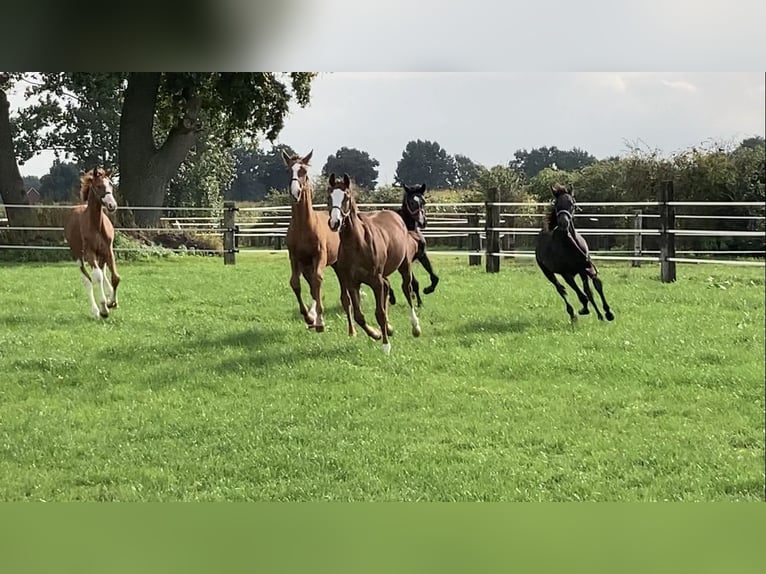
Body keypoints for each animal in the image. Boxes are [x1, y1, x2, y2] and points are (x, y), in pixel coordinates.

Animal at [63, 168, 121, 320]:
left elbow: (115, 277)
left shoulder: (108, 250)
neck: (96, 225)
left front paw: (112, 302)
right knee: (87, 280)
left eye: (111, 184)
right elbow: (97, 277)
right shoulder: (89, 253)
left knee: (102, 272)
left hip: (100, 256)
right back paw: (95, 311)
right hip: (78, 256)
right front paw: (104, 309)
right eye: (99, 186)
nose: (112, 205)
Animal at [284, 150, 340, 332]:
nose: (295, 192)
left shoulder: (319, 256)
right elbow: (296, 283)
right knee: (312, 287)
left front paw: (320, 321)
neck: (304, 227)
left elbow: (318, 280)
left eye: (304, 172)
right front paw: (309, 317)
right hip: (307, 266)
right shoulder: (295, 258)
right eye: (289, 170)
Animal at [328, 174, 424, 356]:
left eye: (346, 196)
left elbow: (379, 313)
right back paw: (389, 328)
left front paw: (386, 346)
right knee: (388, 287)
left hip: (404, 266)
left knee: (407, 289)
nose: (335, 222)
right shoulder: (352, 283)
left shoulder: (375, 281)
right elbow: (359, 316)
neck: (357, 244)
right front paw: (377, 333)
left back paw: (415, 327)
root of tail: (395, 215)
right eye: (329, 196)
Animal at [536, 187, 616, 326]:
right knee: (561, 289)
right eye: (556, 204)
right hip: (548, 272)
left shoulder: (586, 268)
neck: (570, 243)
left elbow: (596, 287)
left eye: (572, 203)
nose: (563, 223)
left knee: (584, 291)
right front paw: (584, 310)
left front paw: (607, 313)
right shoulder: (566, 273)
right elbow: (582, 295)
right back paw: (573, 315)